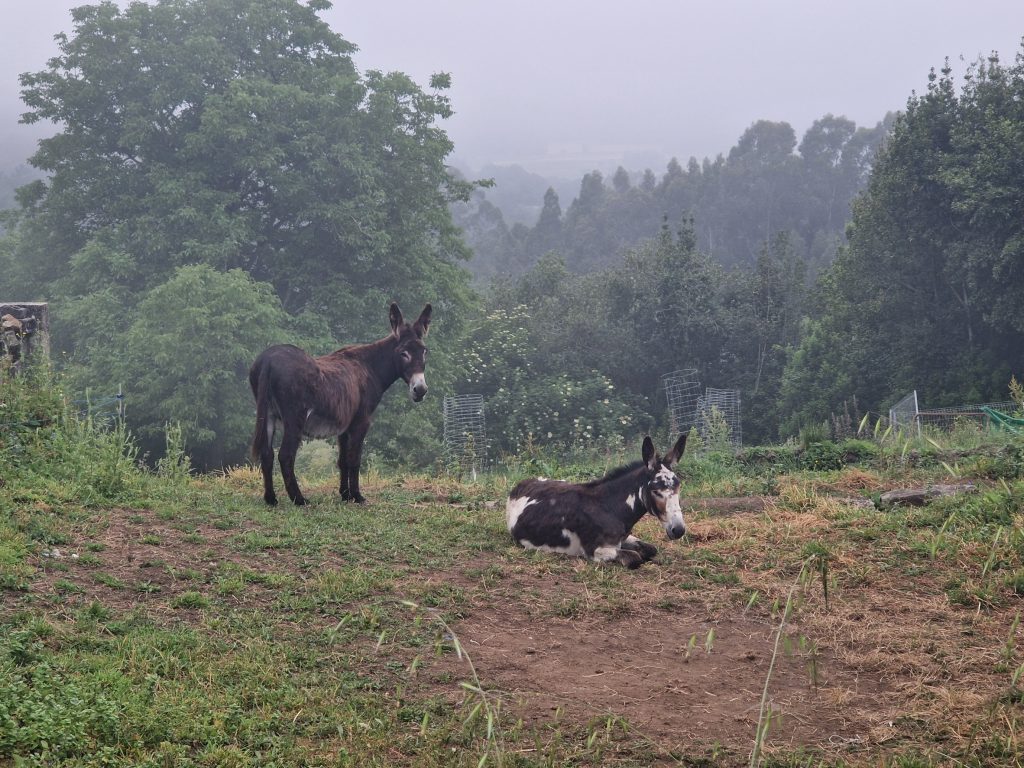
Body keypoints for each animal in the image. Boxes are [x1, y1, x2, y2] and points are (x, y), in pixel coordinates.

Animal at [249, 302, 431, 506]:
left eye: (425, 351)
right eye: (403, 353)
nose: (420, 390)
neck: (370, 366)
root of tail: (268, 359)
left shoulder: (345, 424)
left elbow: (343, 460)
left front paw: (345, 494)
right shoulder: (362, 421)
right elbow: (354, 459)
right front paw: (357, 496)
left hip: (268, 414)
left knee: (267, 454)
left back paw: (271, 498)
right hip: (294, 417)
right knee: (285, 455)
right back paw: (299, 499)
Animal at [505, 434, 688, 568]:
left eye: (679, 487)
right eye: (656, 491)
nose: (678, 530)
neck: (610, 507)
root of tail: (520, 485)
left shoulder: (622, 539)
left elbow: (651, 549)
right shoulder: (595, 551)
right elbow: (635, 558)